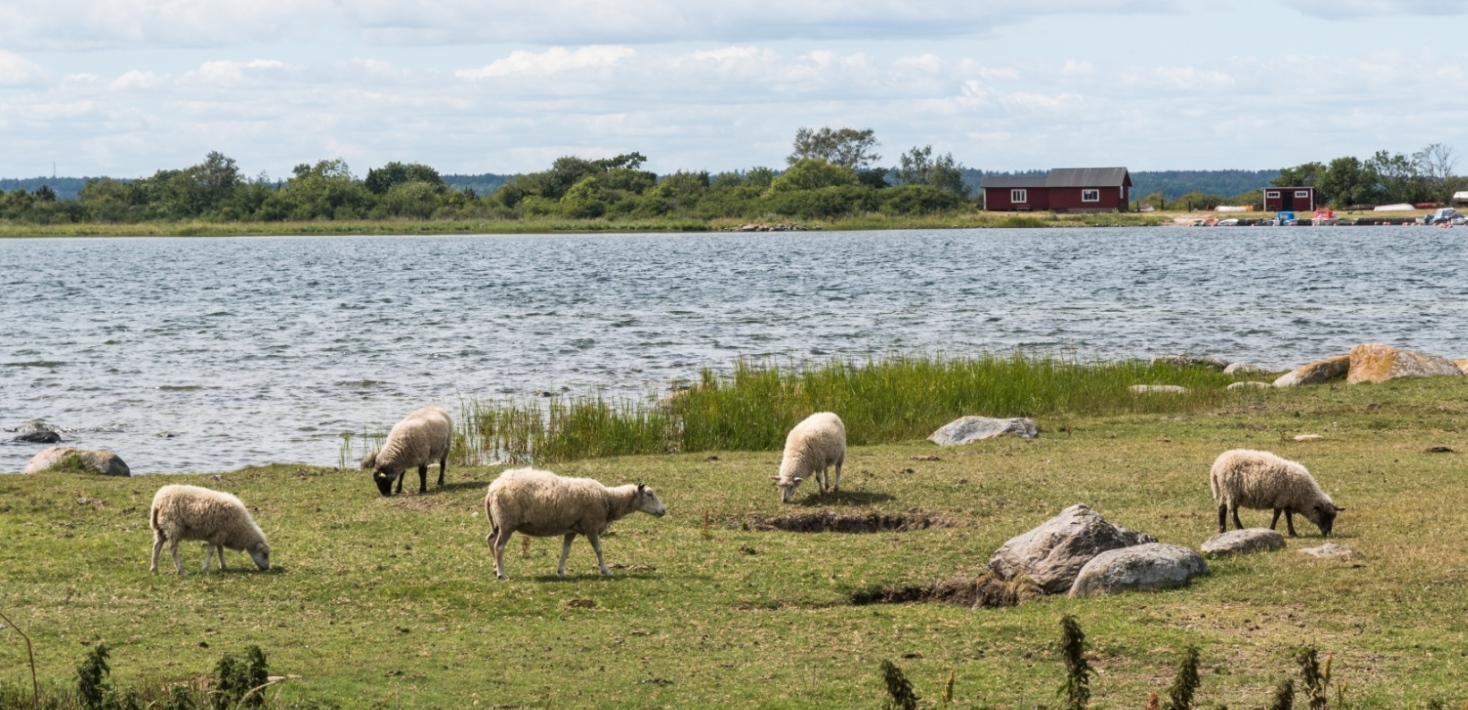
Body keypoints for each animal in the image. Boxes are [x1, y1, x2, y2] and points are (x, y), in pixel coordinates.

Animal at [484, 469, 669, 580]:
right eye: (649, 494)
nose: (663, 510)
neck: (609, 500)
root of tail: (492, 488)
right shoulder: (590, 525)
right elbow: (599, 550)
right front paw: (606, 570)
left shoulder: (571, 529)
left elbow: (565, 551)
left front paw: (561, 572)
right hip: (507, 522)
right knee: (499, 546)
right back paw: (502, 574)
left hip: (499, 522)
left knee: (491, 540)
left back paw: (495, 568)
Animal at [1203, 448, 1344, 536]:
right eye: (1324, 516)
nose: (1328, 533)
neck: (1304, 496)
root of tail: (1216, 466)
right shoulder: (1282, 498)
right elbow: (1277, 514)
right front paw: (1272, 529)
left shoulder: (1287, 499)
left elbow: (1288, 516)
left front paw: (1292, 532)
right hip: (1231, 491)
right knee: (1232, 511)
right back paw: (1240, 529)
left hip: (1225, 491)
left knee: (1221, 509)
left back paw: (1222, 531)